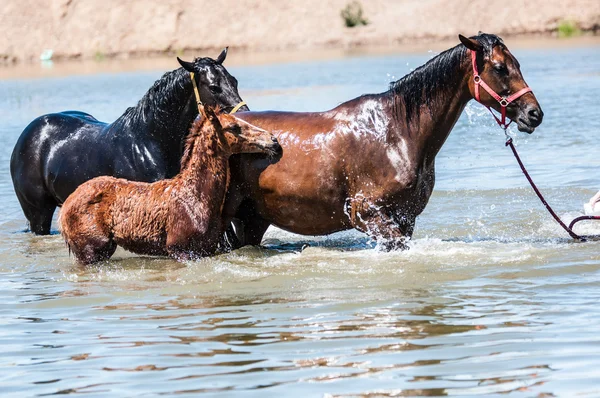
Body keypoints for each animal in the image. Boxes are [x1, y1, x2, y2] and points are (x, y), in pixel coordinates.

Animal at [11, 48, 251, 235]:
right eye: (213, 86)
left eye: (234, 81)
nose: (244, 115)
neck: (150, 142)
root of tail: (28, 134)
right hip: (38, 214)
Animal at [59, 107, 280, 266]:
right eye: (234, 127)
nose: (273, 140)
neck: (199, 197)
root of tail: (63, 210)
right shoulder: (179, 249)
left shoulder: (206, 249)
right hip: (92, 249)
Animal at [224, 32, 544, 249]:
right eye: (500, 67)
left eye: (516, 63)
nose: (534, 114)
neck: (397, 133)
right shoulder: (367, 214)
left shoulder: (406, 218)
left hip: (252, 220)